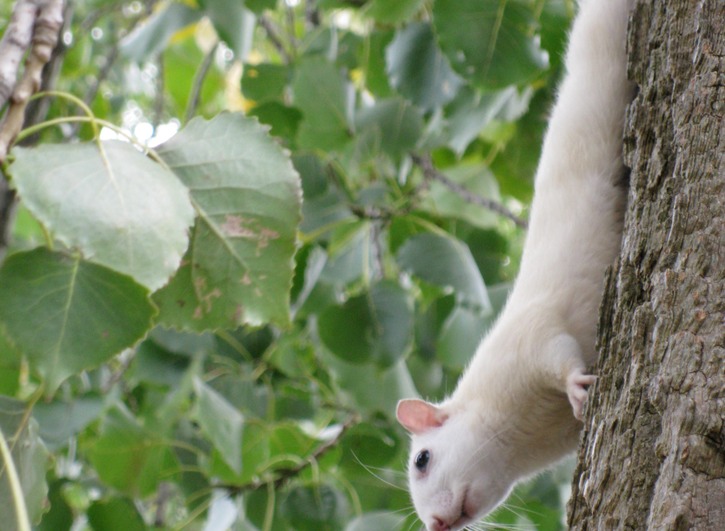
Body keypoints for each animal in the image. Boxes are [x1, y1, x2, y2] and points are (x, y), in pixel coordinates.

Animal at [396, 1, 632, 531]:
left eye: (422, 459)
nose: (436, 523)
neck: (523, 440)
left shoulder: (527, 339)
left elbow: (558, 353)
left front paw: (577, 387)